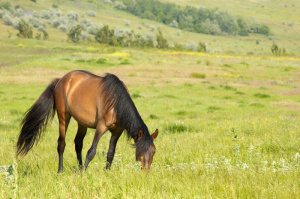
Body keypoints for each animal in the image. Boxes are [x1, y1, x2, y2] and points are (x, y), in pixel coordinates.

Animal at [16, 70, 158, 173]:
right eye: (141, 150)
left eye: (154, 151)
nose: (146, 171)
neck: (116, 103)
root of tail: (61, 80)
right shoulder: (101, 127)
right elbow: (91, 151)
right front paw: (84, 172)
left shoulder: (116, 131)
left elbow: (110, 153)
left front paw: (106, 172)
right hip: (63, 117)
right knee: (61, 144)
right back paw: (60, 170)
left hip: (82, 123)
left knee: (78, 143)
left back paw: (78, 167)